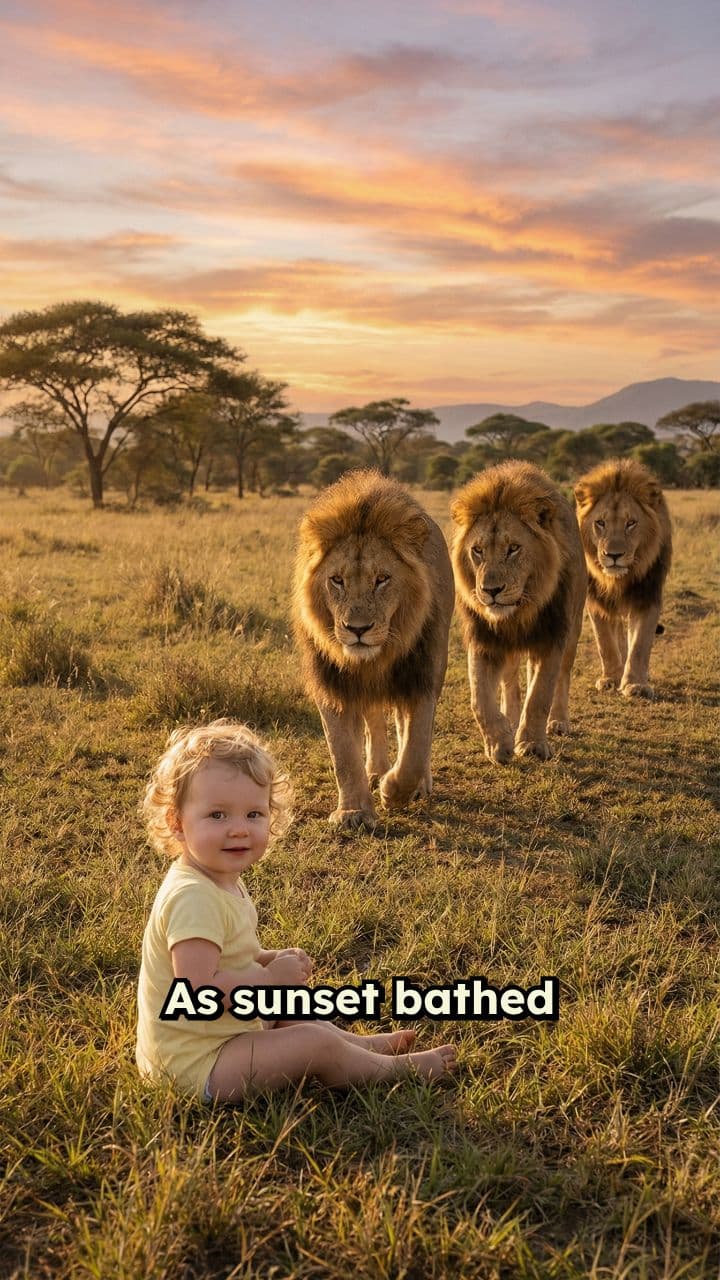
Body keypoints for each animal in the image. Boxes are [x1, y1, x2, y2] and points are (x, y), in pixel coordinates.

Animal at [293, 470, 455, 830]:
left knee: (405, 727)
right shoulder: (331, 682)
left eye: (382, 579)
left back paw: (408, 782)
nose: (357, 629)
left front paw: (394, 791)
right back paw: (376, 770)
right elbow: (342, 752)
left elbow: (416, 743)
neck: (374, 659)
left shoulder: (422, 674)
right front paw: (353, 811)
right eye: (337, 580)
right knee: (374, 721)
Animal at [451, 461, 587, 763]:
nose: (491, 590)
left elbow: (540, 695)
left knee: (563, 675)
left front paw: (533, 745)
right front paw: (499, 743)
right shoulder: (484, 639)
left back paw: (558, 722)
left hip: (573, 630)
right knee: (510, 681)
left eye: (513, 548)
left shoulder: (552, 637)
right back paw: (511, 720)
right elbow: (479, 700)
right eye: (477, 550)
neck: (519, 613)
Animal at [574, 457, 672, 699]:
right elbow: (605, 642)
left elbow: (640, 644)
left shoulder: (647, 596)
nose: (614, 555)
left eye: (631, 523)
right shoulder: (596, 600)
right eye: (600, 523)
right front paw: (610, 678)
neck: (617, 580)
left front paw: (635, 684)